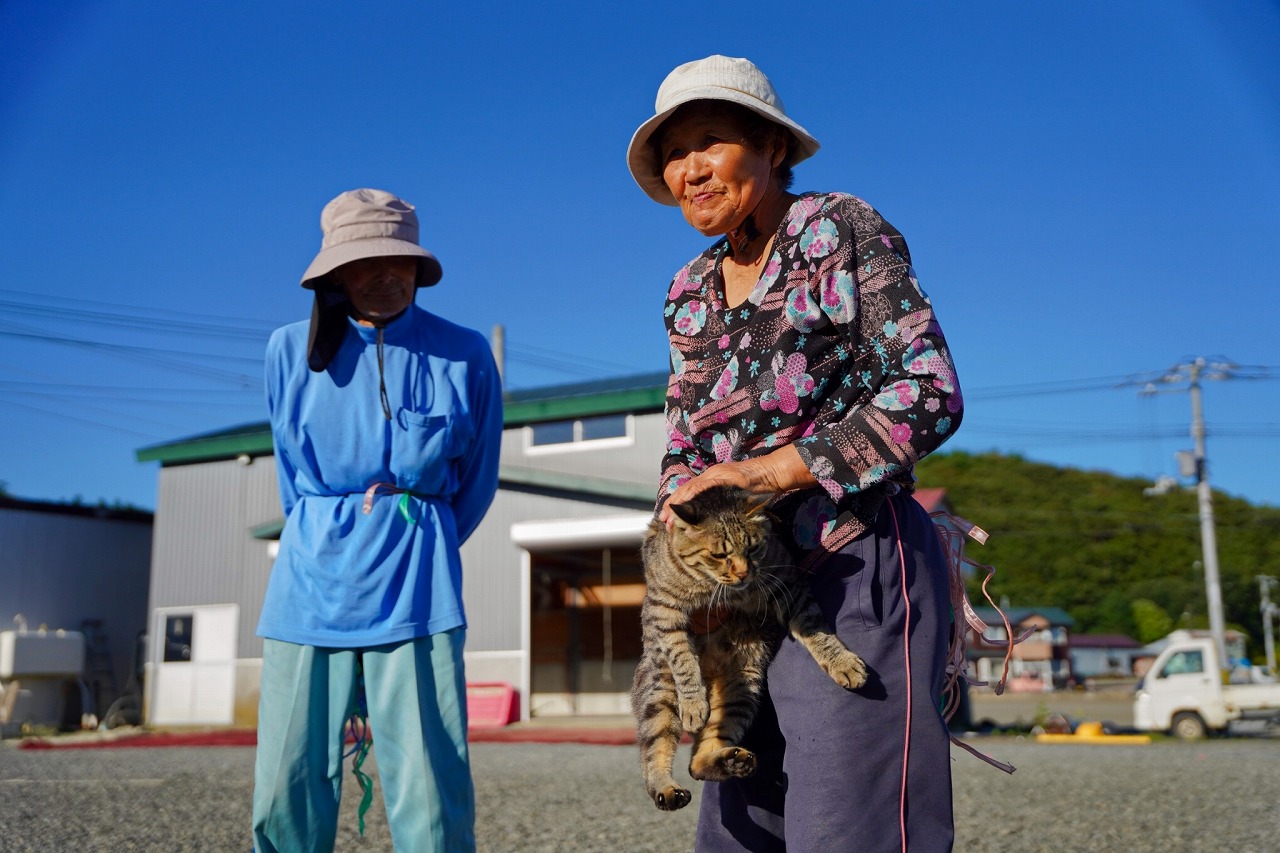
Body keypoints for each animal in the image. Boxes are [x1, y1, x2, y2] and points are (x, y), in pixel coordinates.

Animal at [629, 481, 870, 809]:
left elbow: (814, 627)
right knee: (654, 750)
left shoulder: (788, 585)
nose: (744, 572)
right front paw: (693, 703)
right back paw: (667, 788)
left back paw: (732, 761)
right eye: (719, 554)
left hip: (741, 689)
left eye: (753, 548)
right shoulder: (664, 608)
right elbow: (682, 660)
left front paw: (841, 662)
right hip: (661, 691)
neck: (718, 589)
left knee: (697, 761)